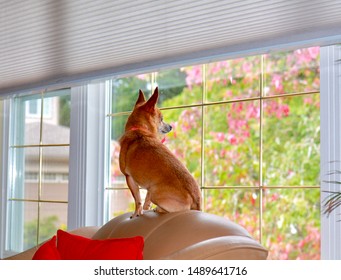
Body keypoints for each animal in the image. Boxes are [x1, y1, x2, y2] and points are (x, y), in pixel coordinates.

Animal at [118, 86, 201, 218]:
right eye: (162, 119)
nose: (171, 126)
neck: (139, 129)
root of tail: (196, 202)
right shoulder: (148, 185)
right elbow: (144, 198)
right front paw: (145, 207)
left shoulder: (129, 178)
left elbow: (137, 200)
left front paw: (136, 213)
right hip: (153, 190)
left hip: (155, 193)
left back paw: (159, 209)